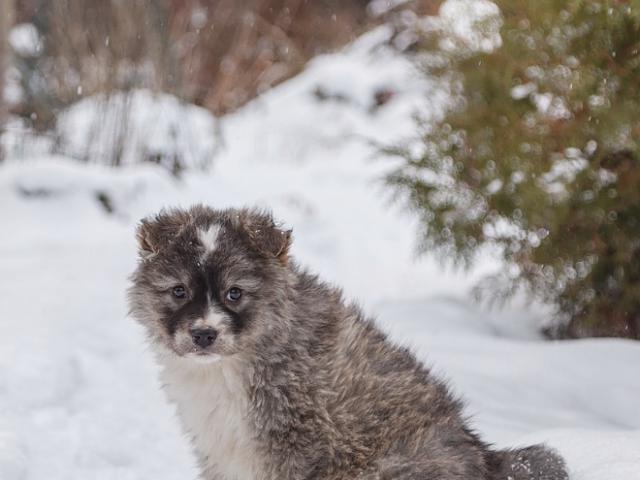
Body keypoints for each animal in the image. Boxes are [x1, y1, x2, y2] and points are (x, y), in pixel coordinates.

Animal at [127, 205, 568, 480]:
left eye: (234, 293)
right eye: (179, 291)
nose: (204, 334)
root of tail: (485, 457)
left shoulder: (298, 444)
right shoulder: (219, 447)